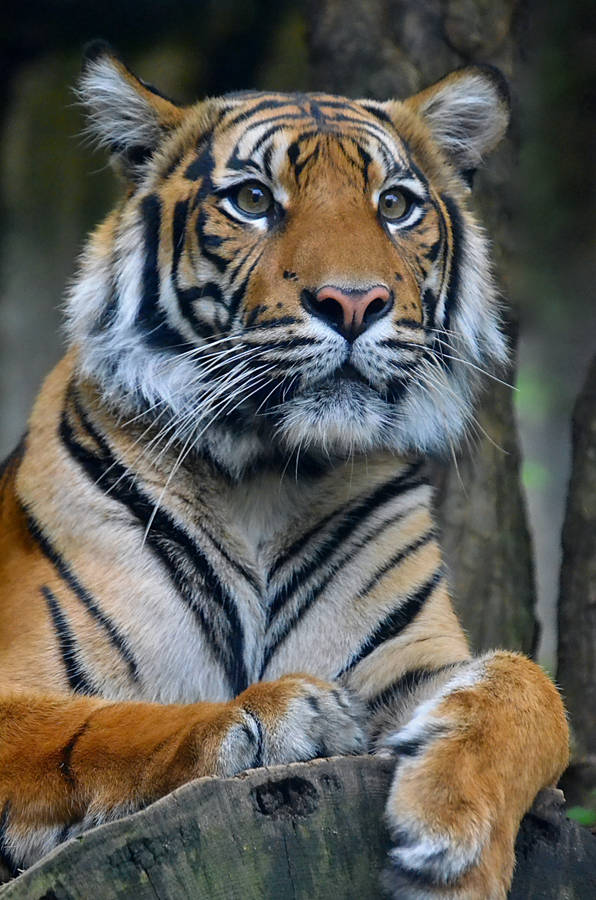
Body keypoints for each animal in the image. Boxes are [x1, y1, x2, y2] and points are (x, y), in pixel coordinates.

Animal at [0, 41, 568, 899]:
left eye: (395, 205)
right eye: (253, 200)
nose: (354, 302)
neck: (266, 477)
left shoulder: (413, 663)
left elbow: (531, 690)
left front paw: (456, 837)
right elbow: (98, 724)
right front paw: (278, 716)